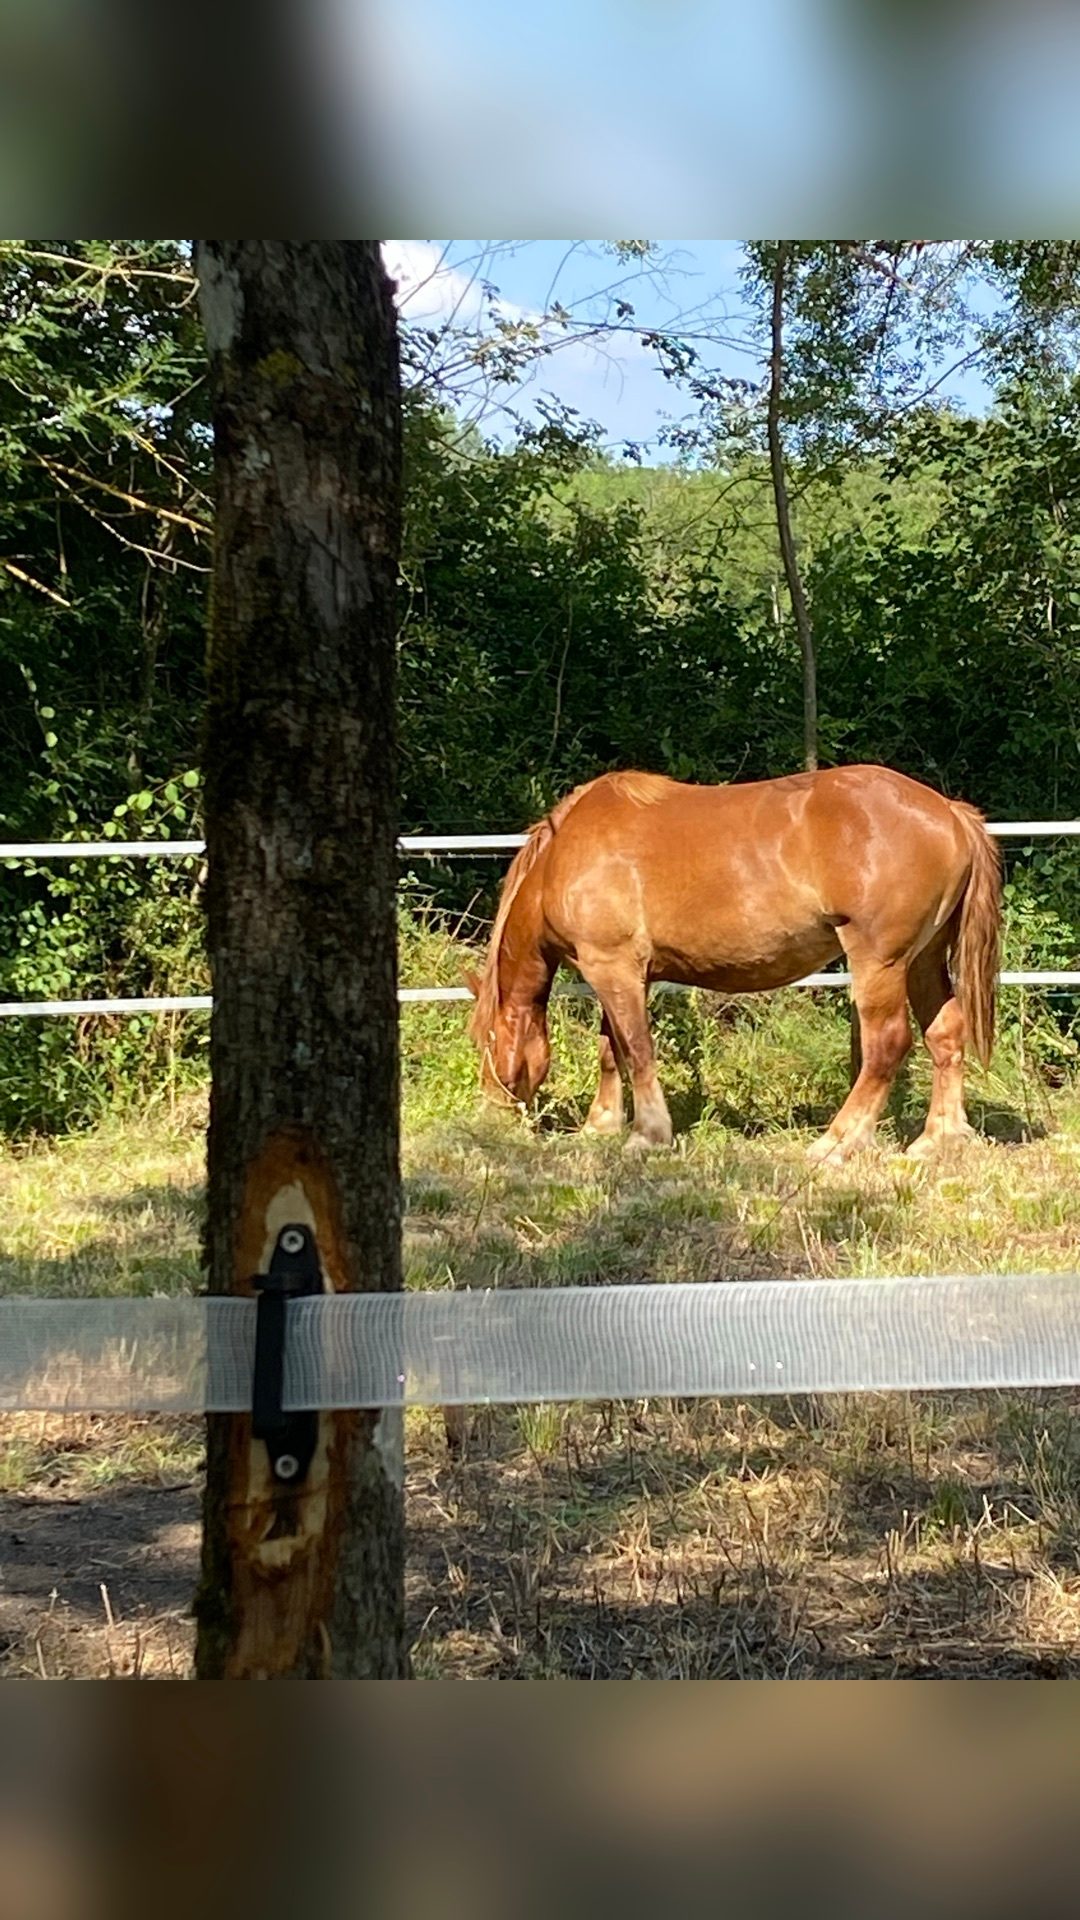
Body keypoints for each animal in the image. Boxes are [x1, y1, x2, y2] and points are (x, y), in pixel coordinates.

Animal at [465, 764, 1002, 1163]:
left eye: (487, 1040)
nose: (491, 1114)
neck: (564, 857)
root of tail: (949, 813)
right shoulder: (619, 973)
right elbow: (611, 1050)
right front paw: (601, 1126)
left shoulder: (612, 967)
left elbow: (636, 1050)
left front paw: (647, 1135)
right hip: (923, 960)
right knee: (945, 1035)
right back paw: (936, 1140)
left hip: (880, 962)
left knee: (886, 1046)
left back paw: (836, 1143)